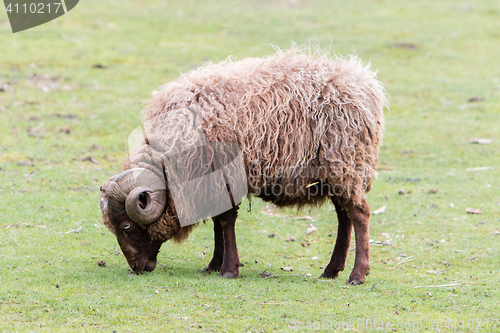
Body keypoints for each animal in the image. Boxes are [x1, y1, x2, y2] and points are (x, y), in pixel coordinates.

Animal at [98, 46, 386, 284]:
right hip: (335, 171)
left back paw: (357, 275)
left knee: (359, 214)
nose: (137, 267)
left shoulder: (224, 175)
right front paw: (214, 265)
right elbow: (218, 222)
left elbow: (226, 222)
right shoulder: (212, 182)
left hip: (346, 163)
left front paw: (228, 269)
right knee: (344, 216)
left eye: (126, 226)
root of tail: (364, 83)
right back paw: (331, 270)